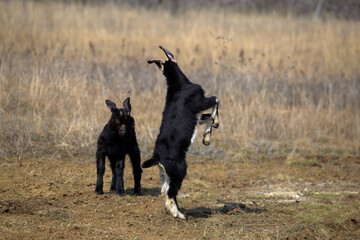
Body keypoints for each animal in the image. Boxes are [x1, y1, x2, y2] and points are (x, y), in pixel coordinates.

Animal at [142, 46, 218, 219]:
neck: (179, 84)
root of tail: (157, 157)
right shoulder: (201, 102)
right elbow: (216, 100)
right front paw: (216, 123)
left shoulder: (197, 116)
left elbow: (208, 118)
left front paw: (206, 138)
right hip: (180, 170)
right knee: (171, 194)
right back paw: (180, 214)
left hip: (166, 175)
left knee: (165, 191)